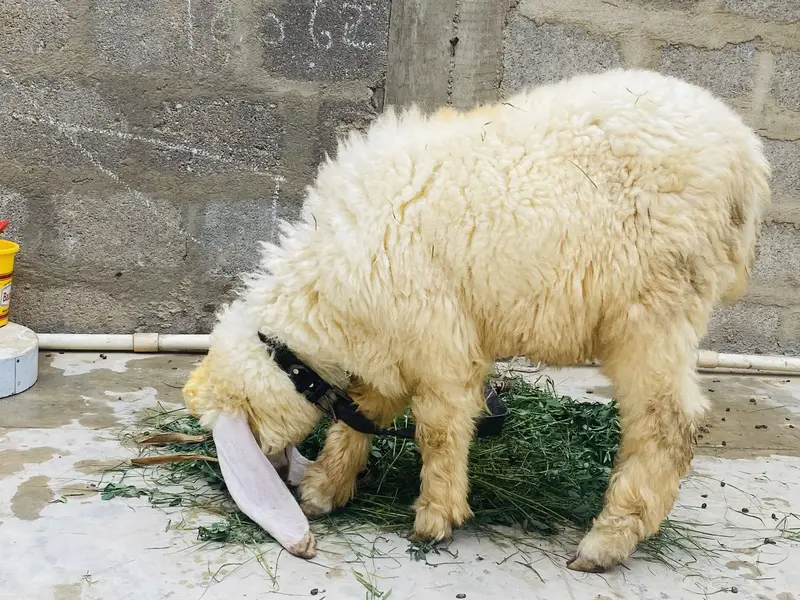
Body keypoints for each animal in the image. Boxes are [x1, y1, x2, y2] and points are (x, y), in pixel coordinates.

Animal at [182, 67, 770, 573]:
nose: (280, 469)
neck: (324, 291)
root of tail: (747, 158)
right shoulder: (393, 338)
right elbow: (366, 411)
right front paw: (326, 488)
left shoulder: (436, 337)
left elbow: (438, 429)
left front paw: (434, 517)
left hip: (655, 306)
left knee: (668, 423)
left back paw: (606, 542)